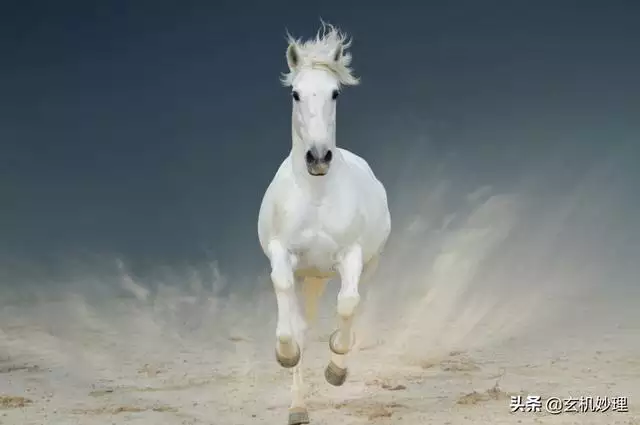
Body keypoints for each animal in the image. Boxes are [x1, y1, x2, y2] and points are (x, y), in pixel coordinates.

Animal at [256, 23, 390, 424]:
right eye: (296, 93)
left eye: (335, 93)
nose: (318, 157)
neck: (316, 194)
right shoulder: (283, 255)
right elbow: (291, 323)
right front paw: (286, 354)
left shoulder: (351, 255)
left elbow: (347, 304)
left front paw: (336, 371)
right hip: (309, 275)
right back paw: (298, 408)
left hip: (358, 267)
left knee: (356, 303)